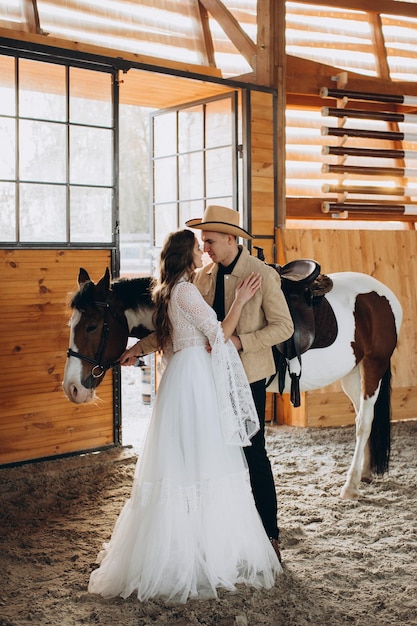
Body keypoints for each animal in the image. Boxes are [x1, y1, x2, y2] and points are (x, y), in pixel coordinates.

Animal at [62, 266, 400, 500]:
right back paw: (365, 472)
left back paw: (351, 485)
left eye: (92, 325)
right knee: (363, 418)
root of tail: (384, 294)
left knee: (364, 422)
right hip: (352, 372)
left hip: (374, 365)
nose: (72, 388)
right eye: (72, 325)